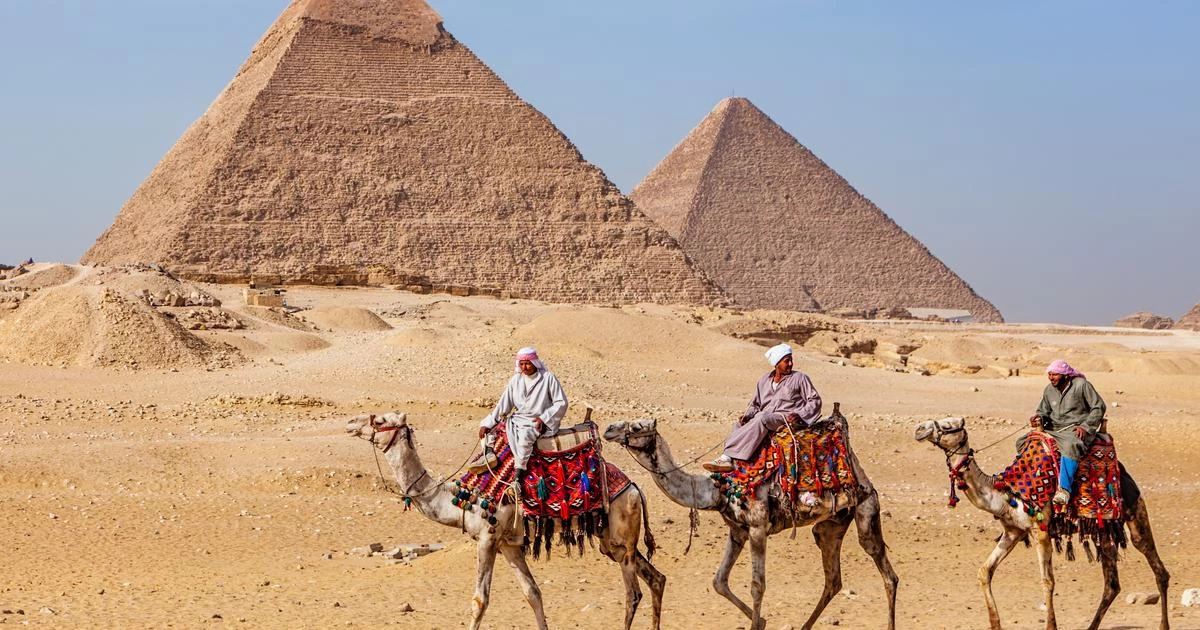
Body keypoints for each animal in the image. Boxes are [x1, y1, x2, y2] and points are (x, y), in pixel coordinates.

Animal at [346, 412, 665, 630]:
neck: (462, 500)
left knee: (632, 593)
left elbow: (480, 601)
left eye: (379, 420)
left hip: (621, 534)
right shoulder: (509, 545)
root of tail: (635, 487)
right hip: (610, 540)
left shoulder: (488, 537)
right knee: (656, 579)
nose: (350, 422)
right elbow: (533, 593)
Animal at [604, 417, 898, 630]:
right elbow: (719, 581)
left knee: (887, 573)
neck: (717, 489)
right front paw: (764, 621)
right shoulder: (738, 531)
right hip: (830, 525)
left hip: (866, 506)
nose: (608, 429)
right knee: (833, 579)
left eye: (637, 426)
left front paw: (759, 622)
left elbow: (758, 586)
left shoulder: (758, 529)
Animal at [914, 417, 1170, 630]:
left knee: (1157, 568)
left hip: (1134, 510)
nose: (919, 429)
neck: (1009, 493)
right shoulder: (1013, 531)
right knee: (1112, 584)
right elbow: (985, 571)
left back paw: (1163, 624)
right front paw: (995, 624)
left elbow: (1047, 581)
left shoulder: (1041, 529)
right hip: (1104, 530)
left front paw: (1051, 626)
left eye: (948, 424)